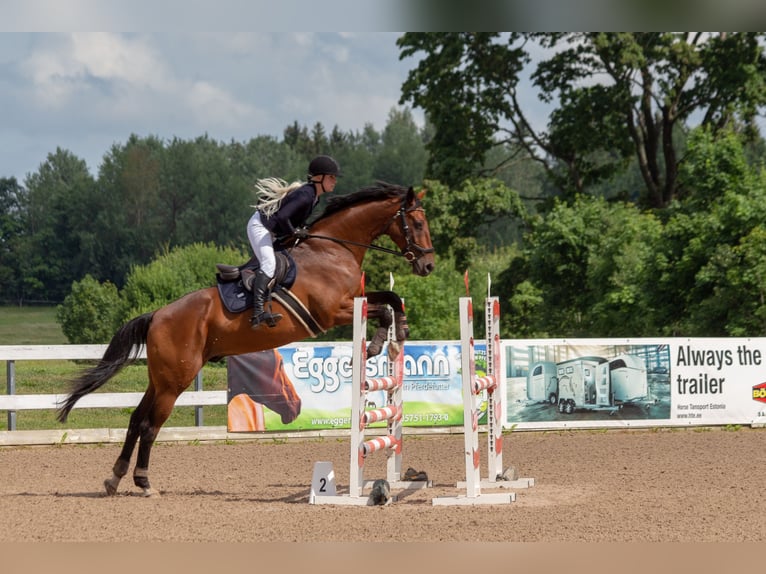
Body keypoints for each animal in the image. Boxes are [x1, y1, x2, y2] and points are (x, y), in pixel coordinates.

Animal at [57, 182, 436, 498]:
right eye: (417, 223)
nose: (429, 266)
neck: (334, 250)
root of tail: (157, 316)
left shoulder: (354, 299)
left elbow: (390, 297)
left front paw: (400, 330)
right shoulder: (334, 312)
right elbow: (382, 308)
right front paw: (377, 342)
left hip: (161, 377)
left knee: (136, 419)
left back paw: (115, 478)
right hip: (175, 380)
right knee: (150, 425)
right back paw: (145, 483)